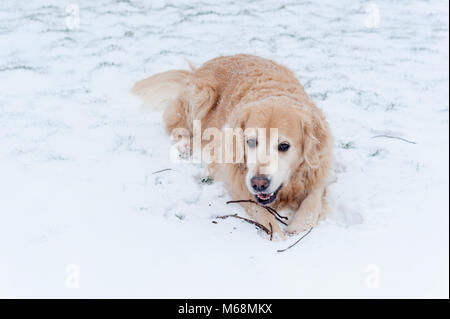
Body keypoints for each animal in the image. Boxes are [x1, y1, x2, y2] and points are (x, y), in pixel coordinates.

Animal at [132, 54, 332, 240]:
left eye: (284, 146)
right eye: (251, 141)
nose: (259, 183)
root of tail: (197, 69)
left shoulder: (319, 169)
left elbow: (313, 200)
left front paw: (299, 226)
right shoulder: (236, 181)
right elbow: (261, 212)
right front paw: (277, 236)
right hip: (202, 95)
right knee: (178, 127)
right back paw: (185, 145)